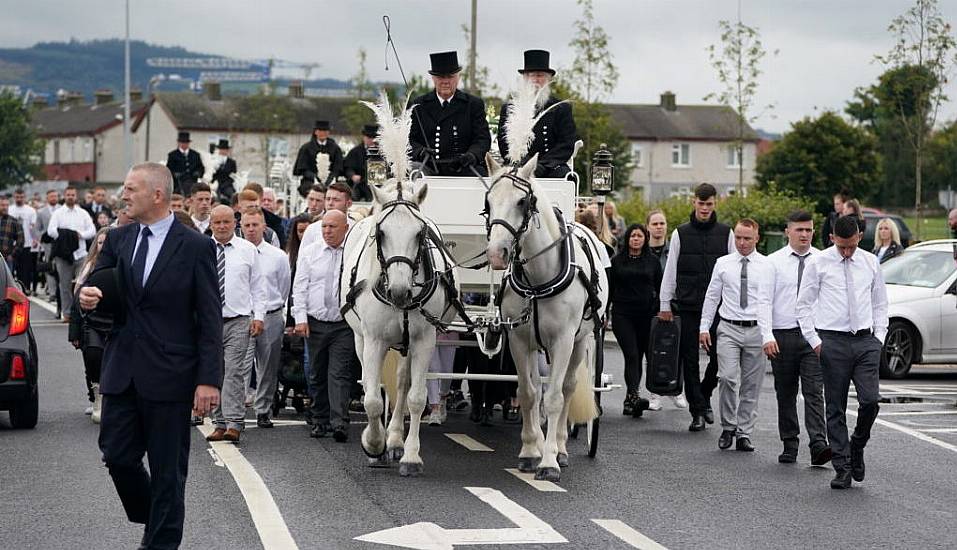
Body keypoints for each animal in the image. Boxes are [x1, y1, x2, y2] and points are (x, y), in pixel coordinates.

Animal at [338, 181, 458, 478]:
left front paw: (410, 456)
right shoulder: (374, 340)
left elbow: (416, 397)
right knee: (372, 382)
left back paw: (394, 439)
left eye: (420, 233)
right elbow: (372, 400)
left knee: (403, 383)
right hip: (361, 338)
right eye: (381, 233)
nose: (400, 292)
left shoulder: (425, 340)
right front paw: (373, 445)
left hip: (408, 345)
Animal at [482, 153, 608, 480]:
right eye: (489, 201)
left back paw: (560, 447)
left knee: (567, 387)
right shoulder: (518, 339)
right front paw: (529, 451)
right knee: (539, 387)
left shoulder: (563, 340)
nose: (497, 254)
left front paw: (549, 461)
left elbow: (554, 398)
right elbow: (528, 393)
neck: (538, 279)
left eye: (523, 201)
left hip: (581, 341)